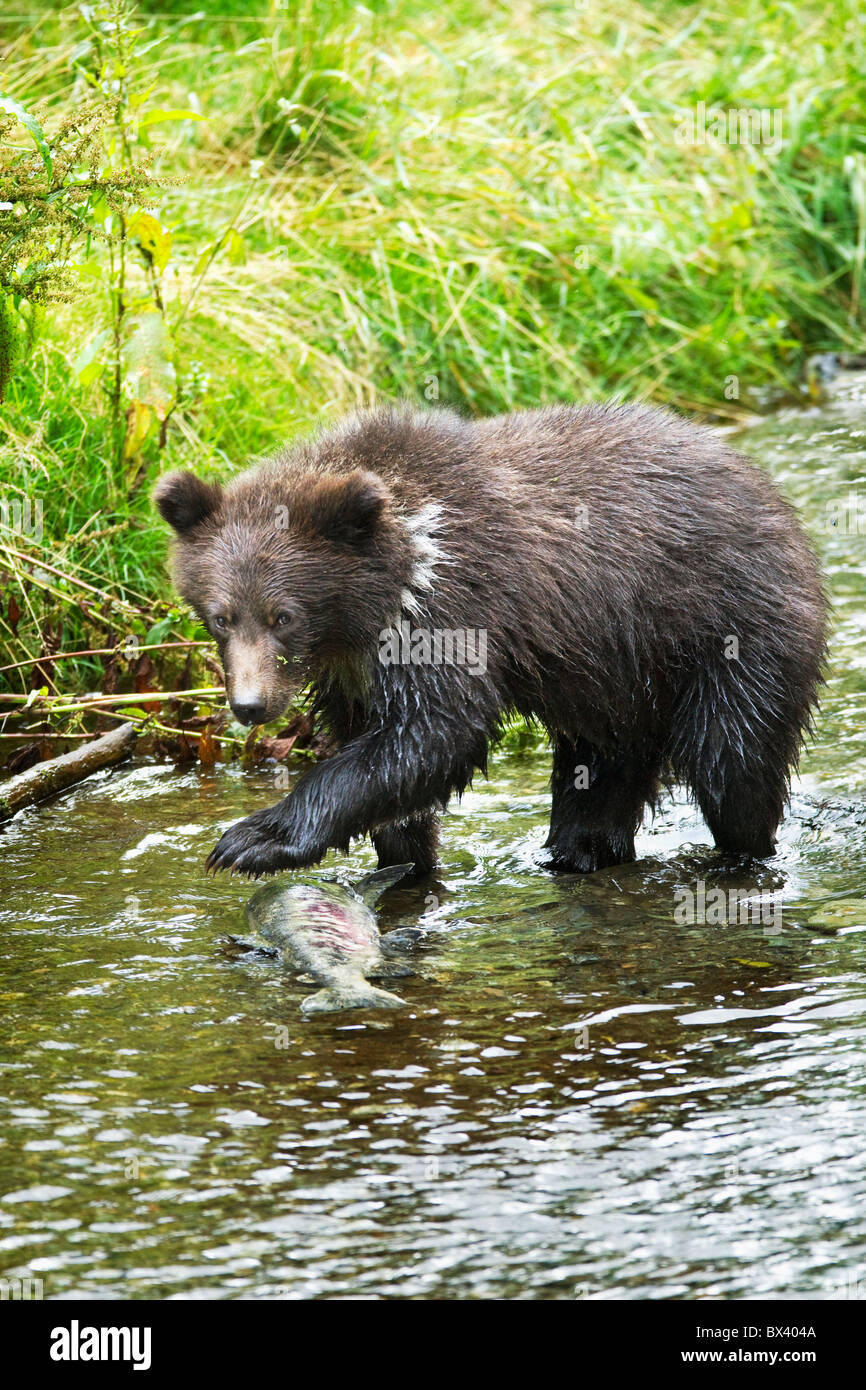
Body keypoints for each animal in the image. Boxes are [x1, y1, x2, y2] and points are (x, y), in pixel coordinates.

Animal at [154, 405, 828, 878]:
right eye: (220, 617)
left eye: (283, 616)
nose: (250, 705)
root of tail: (772, 493)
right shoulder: (352, 670)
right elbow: (382, 752)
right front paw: (405, 853)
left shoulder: (454, 606)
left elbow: (436, 731)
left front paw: (253, 840)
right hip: (619, 680)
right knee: (599, 776)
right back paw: (579, 852)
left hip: (730, 627)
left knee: (733, 760)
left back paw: (742, 853)